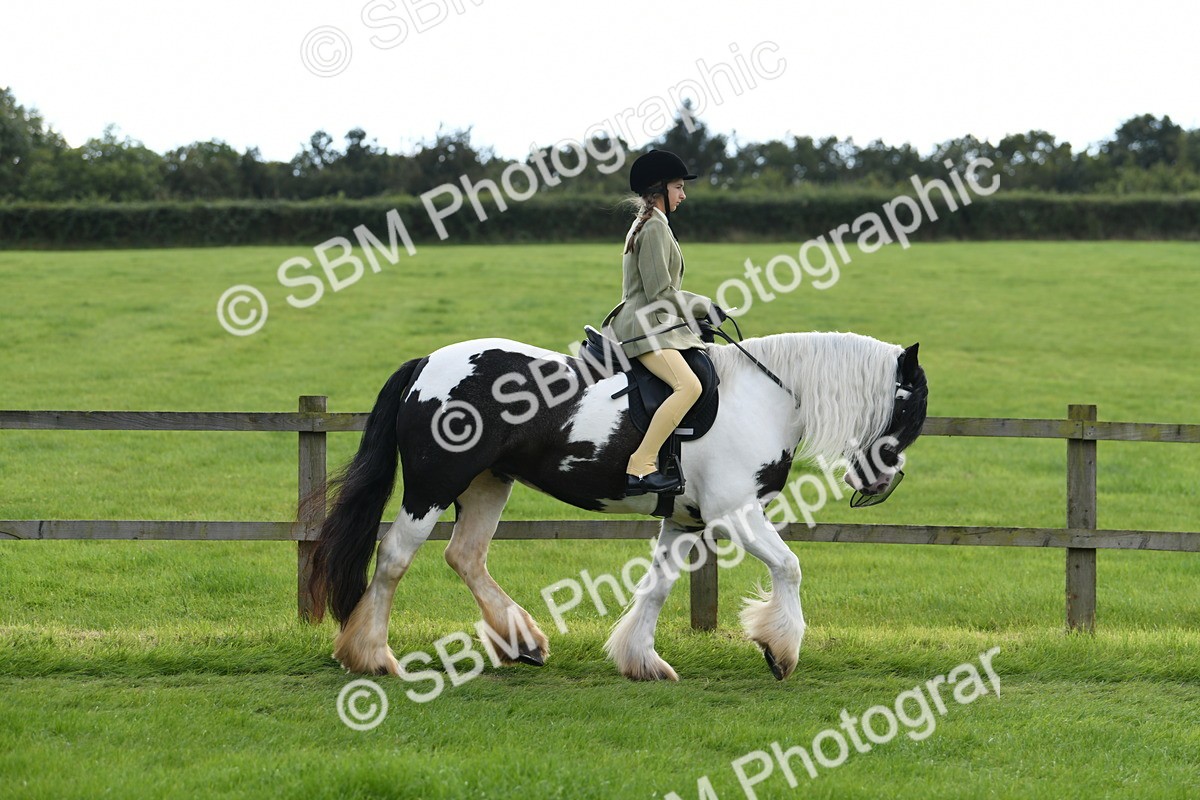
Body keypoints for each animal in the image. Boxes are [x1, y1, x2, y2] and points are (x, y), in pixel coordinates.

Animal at [307, 328, 928, 682]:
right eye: (911, 403)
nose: (882, 482)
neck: (766, 396)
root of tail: (427, 365)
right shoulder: (736, 513)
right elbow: (789, 567)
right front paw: (781, 650)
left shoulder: (684, 522)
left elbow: (657, 587)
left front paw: (641, 661)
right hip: (432, 487)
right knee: (395, 558)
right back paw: (371, 655)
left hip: (487, 483)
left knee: (465, 557)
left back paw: (524, 643)